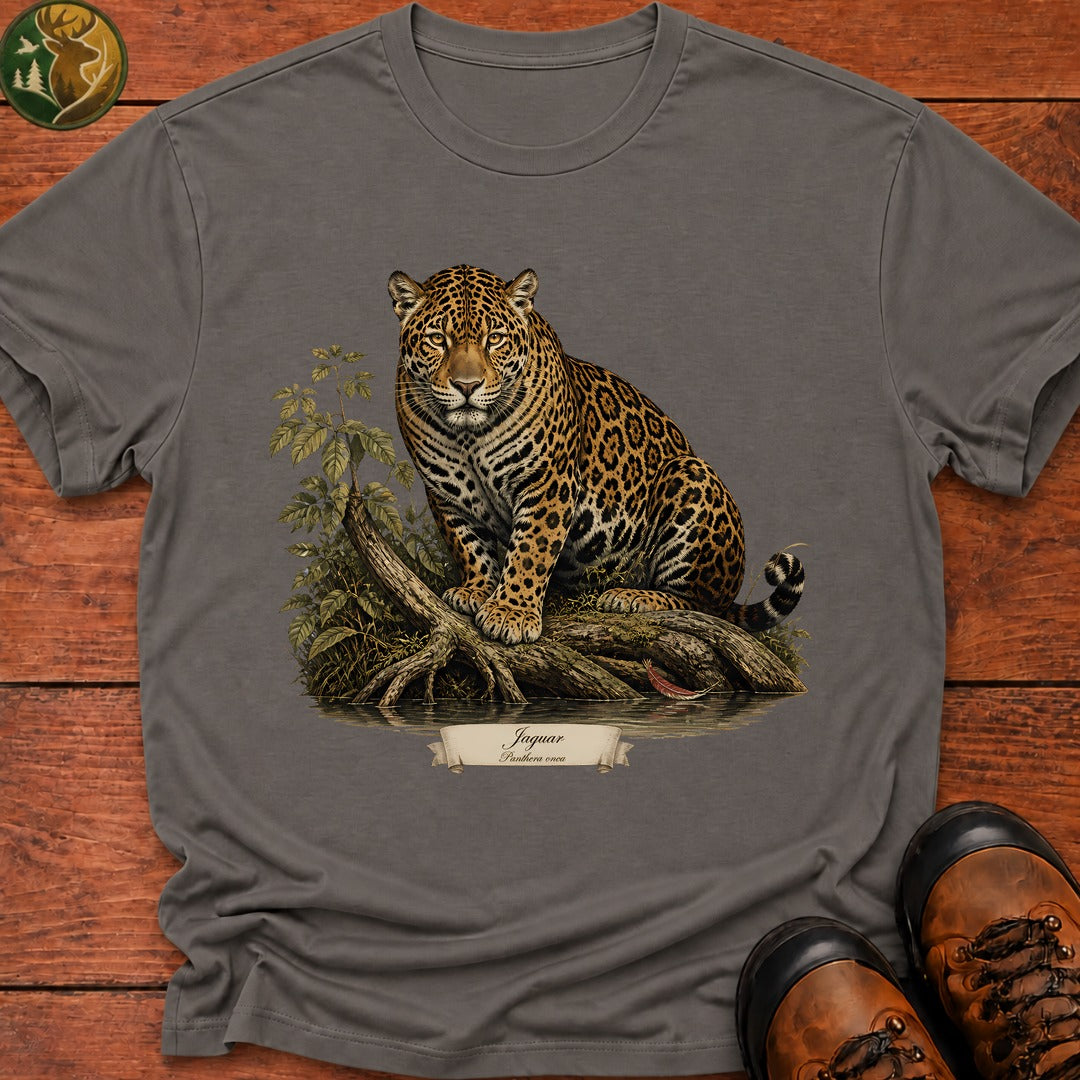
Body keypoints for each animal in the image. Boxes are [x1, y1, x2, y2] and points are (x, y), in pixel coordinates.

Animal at [387, 263, 804, 647]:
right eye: (437, 339)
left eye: (495, 339)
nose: (467, 386)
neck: (468, 435)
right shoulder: (445, 492)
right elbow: (468, 544)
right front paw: (476, 589)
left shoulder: (548, 481)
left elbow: (530, 550)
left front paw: (510, 612)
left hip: (690, 474)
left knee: (701, 605)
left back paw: (632, 597)